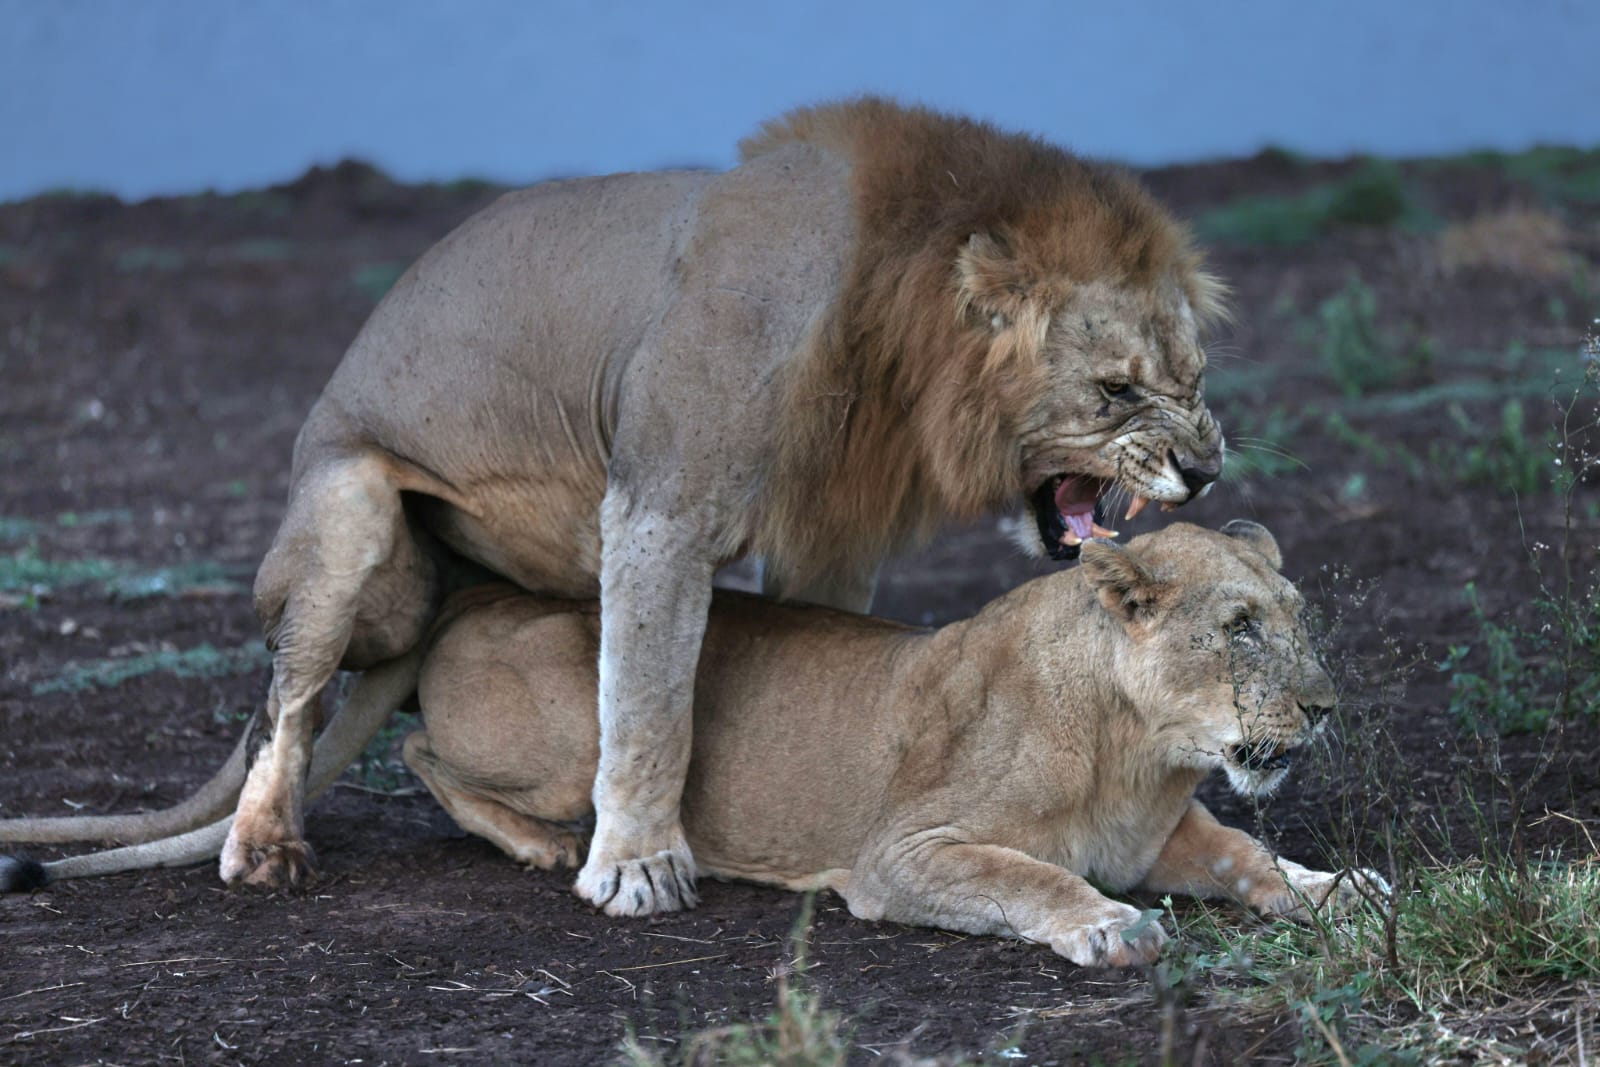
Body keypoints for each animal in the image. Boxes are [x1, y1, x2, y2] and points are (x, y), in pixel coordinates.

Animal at [3, 522, 1384, 966]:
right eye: (1240, 628)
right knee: (426, 757)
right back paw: (545, 845)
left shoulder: (1176, 824)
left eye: (1300, 617)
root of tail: (465, 595)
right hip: (584, 706)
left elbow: (1251, 860)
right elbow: (1030, 873)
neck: (1137, 750)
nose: (1324, 707)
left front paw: (1342, 891)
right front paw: (1101, 925)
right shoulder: (901, 856)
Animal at [109, 97, 1233, 914]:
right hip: (348, 512)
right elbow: (650, 706)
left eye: (1196, 377)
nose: (1206, 470)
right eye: (1117, 390)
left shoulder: (829, 530)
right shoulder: (659, 507)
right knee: (289, 705)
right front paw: (638, 868)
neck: (890, 340)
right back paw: (270, 846)